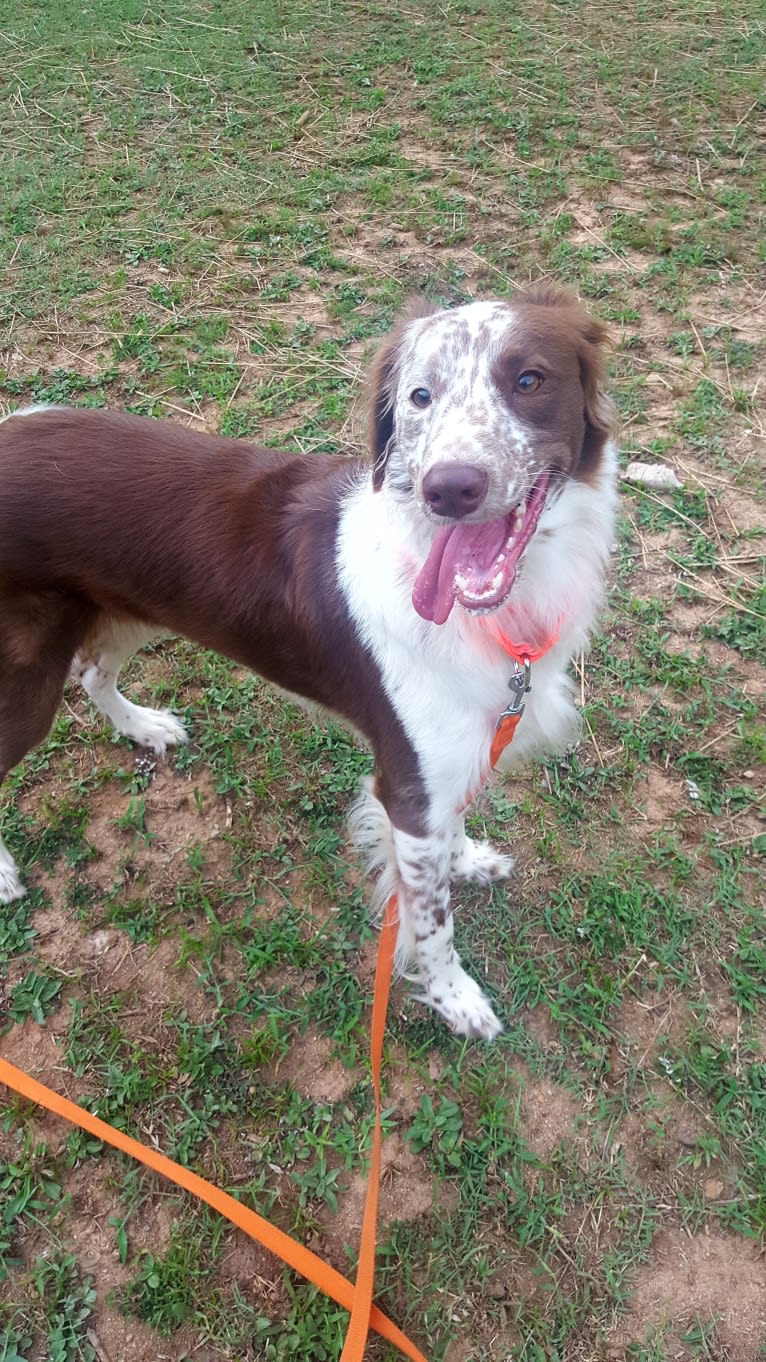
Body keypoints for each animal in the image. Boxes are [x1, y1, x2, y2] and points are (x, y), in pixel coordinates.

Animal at [0, 284, 613, 1029]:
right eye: (420, 396)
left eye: (529, 381)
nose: (449, 488)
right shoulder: (404, 789)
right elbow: (430, 920)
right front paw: (454, 998)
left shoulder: (448, 764)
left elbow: (454, 826)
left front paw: (467, 858)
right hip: (24, 679)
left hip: (123, 609)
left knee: (93, 671)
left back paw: (143, 726)